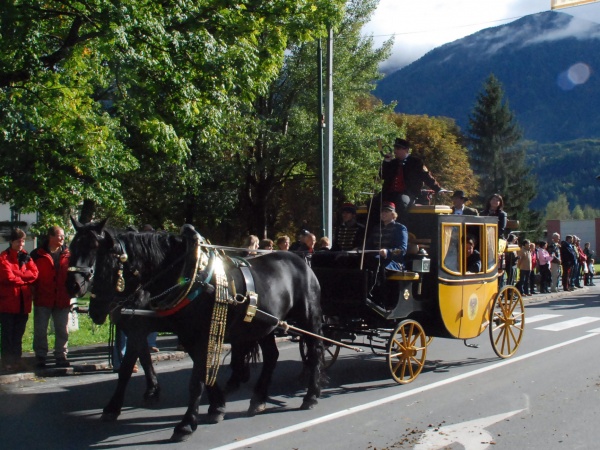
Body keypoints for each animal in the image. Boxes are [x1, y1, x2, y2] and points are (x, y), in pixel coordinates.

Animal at [65, 220, 324, 442]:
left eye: (98, 256)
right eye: (71, 248)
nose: (74, 287)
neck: (187, 274)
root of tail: (300, 261)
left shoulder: (186, 333)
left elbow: (192, 379)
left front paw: (186, 424)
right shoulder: (185, 336)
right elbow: (196, 372)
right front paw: (216, 406)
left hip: (308, 318)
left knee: (315, 351)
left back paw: (311, 395)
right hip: (264, 324)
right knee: (271, 356)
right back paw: (258, 398)